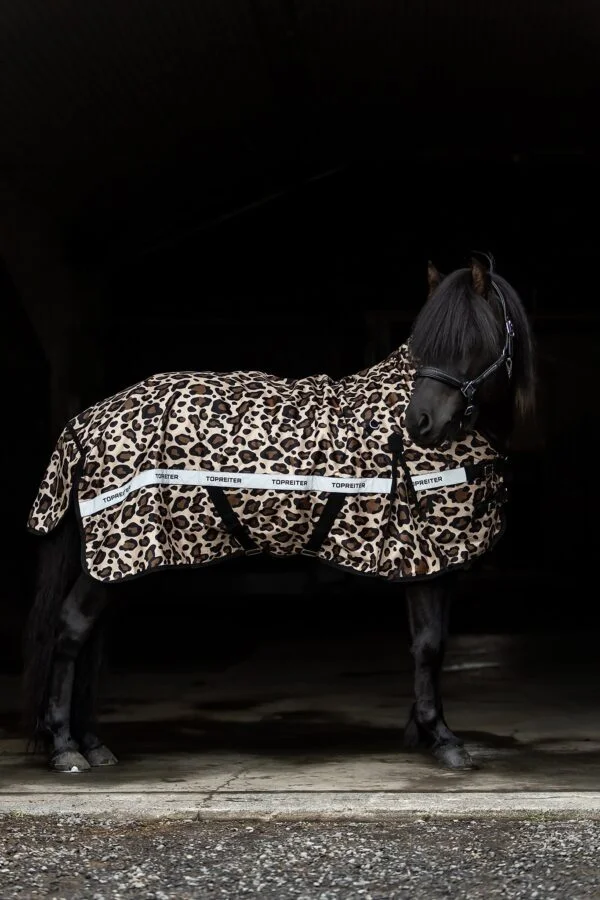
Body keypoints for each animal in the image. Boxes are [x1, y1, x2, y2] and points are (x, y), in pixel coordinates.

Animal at [23, 253, 536, 773]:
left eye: (470, 341)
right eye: (427, 343)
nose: (420, 423)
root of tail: (87, 421)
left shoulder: (434, 564)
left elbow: (431, 643)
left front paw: (423, 731)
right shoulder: (424, 558)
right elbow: (430, 644)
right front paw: (443, 738)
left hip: (120, 564)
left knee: (93, 639)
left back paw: (92, 742)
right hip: (115, 554)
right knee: (71, 628)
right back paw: (66, 746)